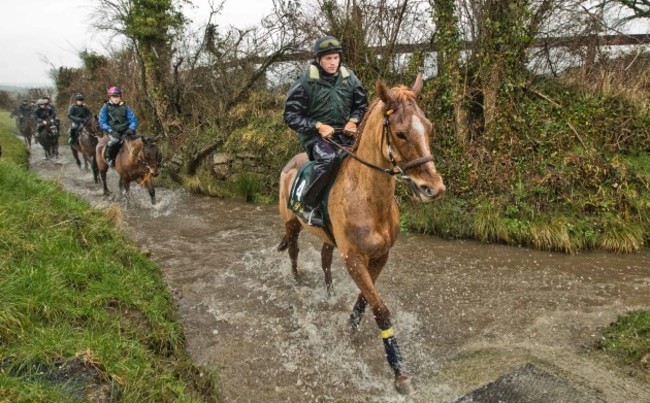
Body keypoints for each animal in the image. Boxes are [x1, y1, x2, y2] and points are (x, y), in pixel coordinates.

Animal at [276, 72, 442, 394]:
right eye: (400, 133)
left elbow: (366, 299)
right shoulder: (354, 259)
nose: (433, 188)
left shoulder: (379, 256)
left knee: (325, 261)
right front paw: (399, 373)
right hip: (291, 224)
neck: (367, 197)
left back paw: (328, 294)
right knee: (293, 250)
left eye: (428, 127)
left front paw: (350, 324)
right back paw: (297, 280)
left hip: (328, 240)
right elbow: (381, 309)